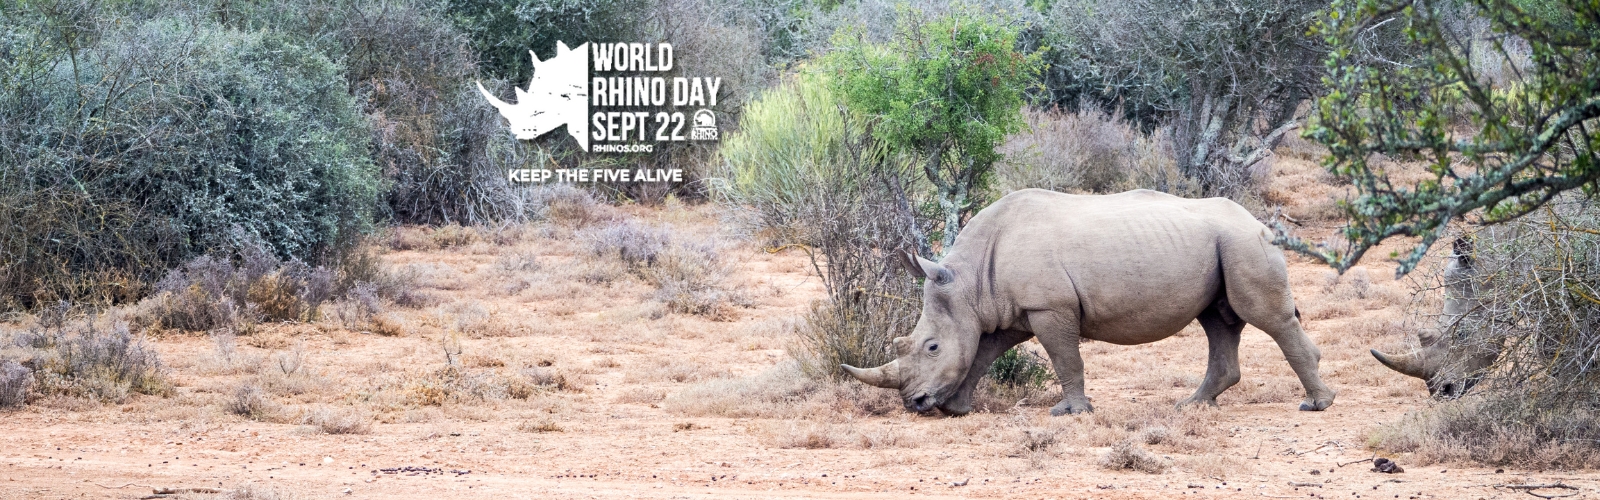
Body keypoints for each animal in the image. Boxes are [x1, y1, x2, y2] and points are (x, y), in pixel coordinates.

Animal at [843, 189, 1336, 415]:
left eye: (931, 347)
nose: (915, 403)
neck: (968, 281)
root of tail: (1259, 221)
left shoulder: (1048, 306)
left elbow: (1065, 358)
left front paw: (1070, 412)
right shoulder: (1007, 310)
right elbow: (982, 353)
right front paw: (957, 409)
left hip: (1244, 242)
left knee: (1266, 319)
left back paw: (1316, 405)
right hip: (1225, 245)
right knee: (1219, 323)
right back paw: (1191, 406)